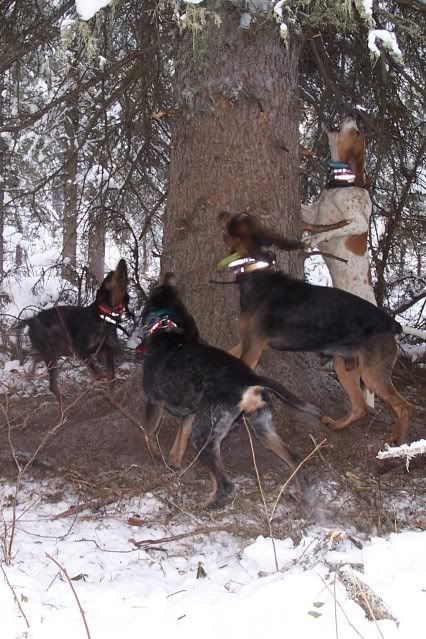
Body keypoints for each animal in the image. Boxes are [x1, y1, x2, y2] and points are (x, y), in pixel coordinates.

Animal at [23, 259, 130, 399]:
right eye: (111, 274)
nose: (122, 260)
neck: (104, 316)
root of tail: (31, 320)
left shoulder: (107, 350)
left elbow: (111, 378)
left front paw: (112, 395)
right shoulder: (81, 350)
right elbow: (96, 371)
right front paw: (99, 378)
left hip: (58, 350)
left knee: (35, 358)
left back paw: (31, 373)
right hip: (52, 352)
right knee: (52, 385)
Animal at [138, 273, 323, 508]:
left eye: (154, 290)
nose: (168, 274)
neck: (167, 332)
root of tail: (251, 379)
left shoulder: (154, 401)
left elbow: (148, 434)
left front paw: (156, 459)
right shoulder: (189, 415)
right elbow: (177, 447)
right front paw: (174, 466)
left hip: (206, 434)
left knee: (226, 484)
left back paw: (208, 506)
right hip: (263, 428)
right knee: (295, 458)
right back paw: (303, 496)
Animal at [219, 212, 413, 445]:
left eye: (234, 220)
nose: (220, 213)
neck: (257, 273)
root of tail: (393, 325)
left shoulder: (254, 347)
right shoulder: (249, 341)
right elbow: (226, 353)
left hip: (372, 374)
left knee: (405, 406)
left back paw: (397, 438)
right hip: (344, 366)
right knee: (361, 408)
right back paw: (336, 425)